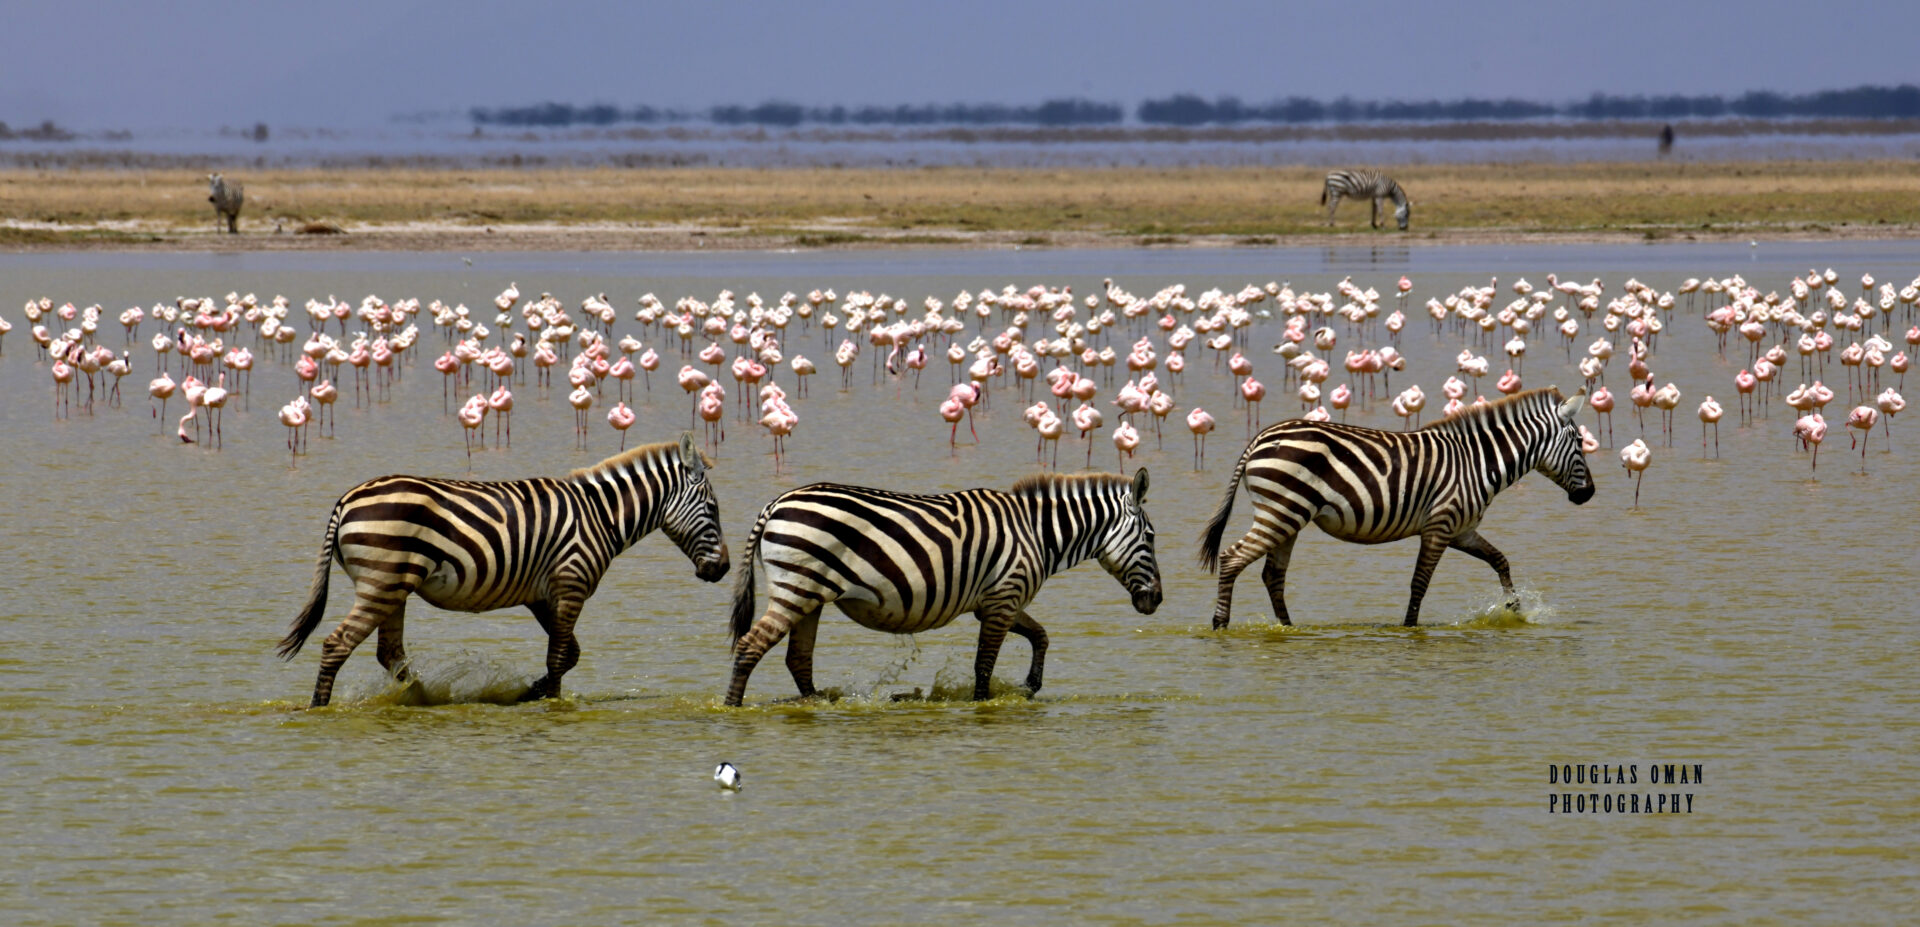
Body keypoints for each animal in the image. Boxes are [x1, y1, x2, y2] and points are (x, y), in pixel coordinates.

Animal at [280, 431, 729, 706]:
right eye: (712, 509)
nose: (723, 569)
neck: (600, 515)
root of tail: (345, 500)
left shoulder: (544, 595)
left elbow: (570, 654)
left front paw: (532, 692)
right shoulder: (571, 583)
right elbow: (560, 657)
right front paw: (547, 698)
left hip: (393, 589)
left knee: (390, 654)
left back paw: (424, 698)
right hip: (381, 583)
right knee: (337, 644)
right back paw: (319, 707)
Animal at [725, 468, 1159, 706]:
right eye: (1152, 538)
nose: (1156, 601)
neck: (1037, 533)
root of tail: (777, 502)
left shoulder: (997, 600)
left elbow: (1041, 635)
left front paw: (1031, 685)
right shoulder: (1004, 598)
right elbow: (984, 665)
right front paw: (983, 703)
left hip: (810, 597)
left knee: (797, 659)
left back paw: (816, 703)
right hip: (796, 590)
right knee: (750, 647)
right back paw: (733, 707)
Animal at [1198, 387, 1589, 629]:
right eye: (1580, 441)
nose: (1589, 495)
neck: (1477, 463)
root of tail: (1260, 438)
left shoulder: (1462, 530)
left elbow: (1501, 561)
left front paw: (1514, 610)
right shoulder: (1440, 525)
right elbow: (1419, 583)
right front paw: (1409, 627)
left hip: (1289, 517)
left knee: (1272, 574)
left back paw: (1288, 627)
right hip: (1281, 511)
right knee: (1232, 558)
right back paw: (1220, 625)